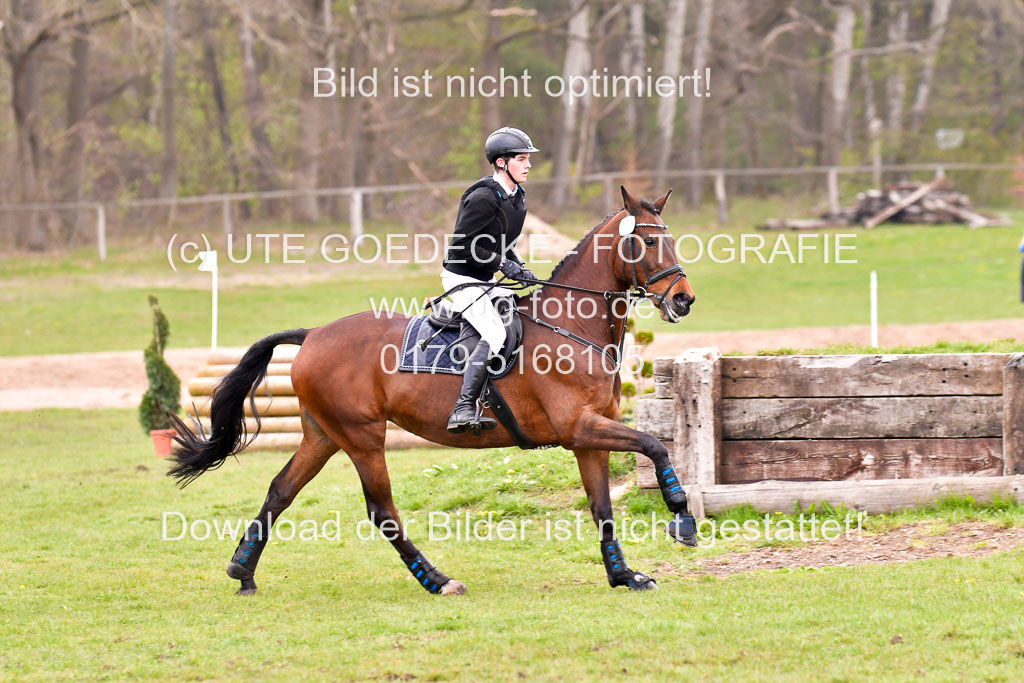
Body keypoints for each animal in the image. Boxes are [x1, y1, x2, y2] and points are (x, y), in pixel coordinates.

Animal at [169, 185, 696, 593]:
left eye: (670, 240)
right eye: (648, 242)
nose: (684, 299)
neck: (571, 326)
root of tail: (313, 334)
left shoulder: (589, 436)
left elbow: (602, 506)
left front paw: (624, 576)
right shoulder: (579, 427)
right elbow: (654, 446)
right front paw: (682, 517)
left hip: (322, 433)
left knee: (280, 490)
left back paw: (243, 571)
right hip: (362, 436)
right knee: (382, 510)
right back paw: (438, 580)